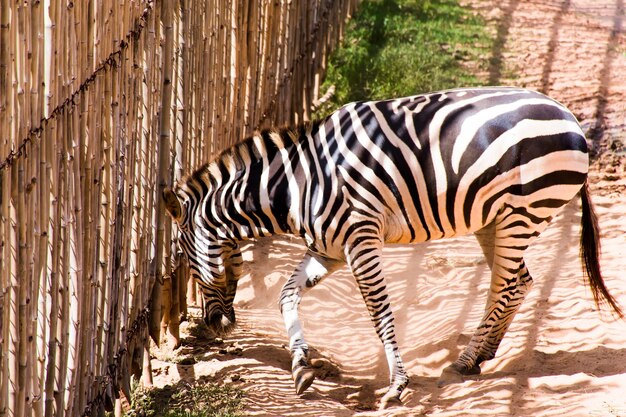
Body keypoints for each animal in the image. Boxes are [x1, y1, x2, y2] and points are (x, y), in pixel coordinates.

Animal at [161, 86, 620, 408]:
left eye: (184, 260)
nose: (216, 325)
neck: (296, 186)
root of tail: (568, 115)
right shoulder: (327, 249)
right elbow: (287, 296)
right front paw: (301, 367)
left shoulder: (360, 239)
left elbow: (378, 311)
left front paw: (397, 384)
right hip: (495, 219)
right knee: (518, 281)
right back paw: (479, 355)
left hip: (522, 212)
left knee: (506, 284)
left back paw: (470, 356)